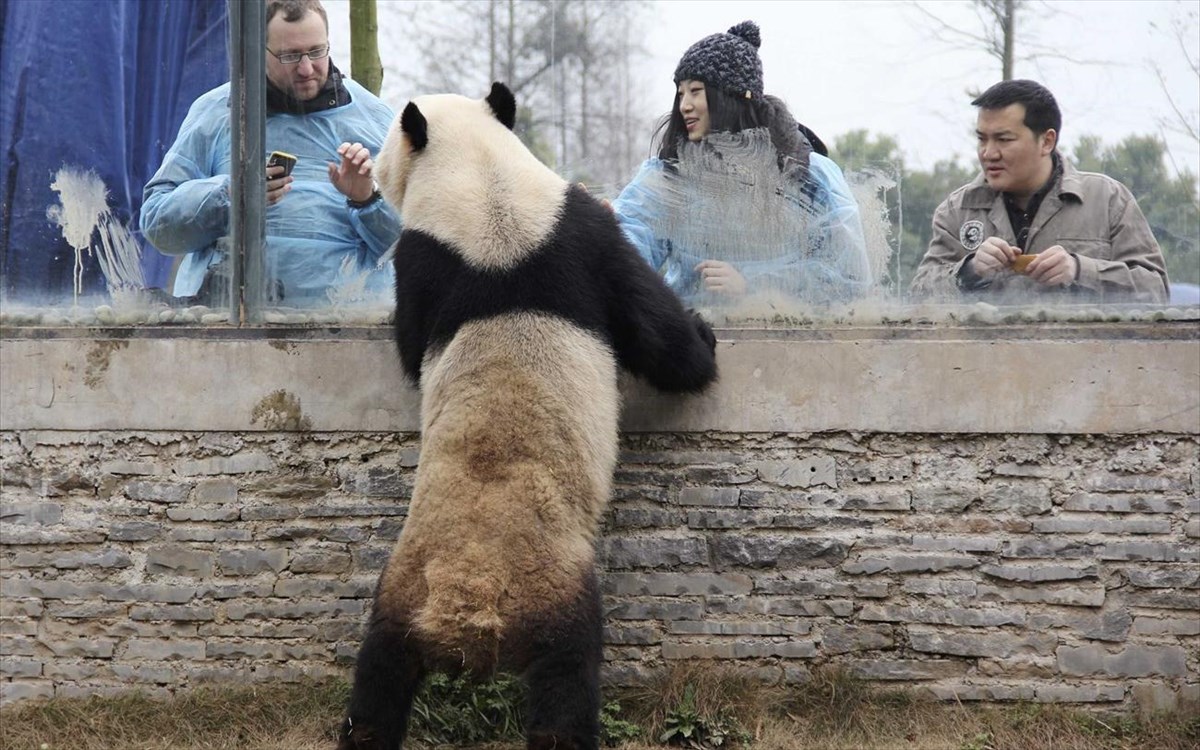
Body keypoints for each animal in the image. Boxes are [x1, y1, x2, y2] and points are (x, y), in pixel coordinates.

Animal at [338, 82, 718, 750]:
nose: (374, 171)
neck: (484, 181)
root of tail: (469, 602)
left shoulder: (550, 230)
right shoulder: (574, 235)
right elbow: (659, 334)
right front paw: (705, 337)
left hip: (398, 591)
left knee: (377, 679)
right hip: (553, 589)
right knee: (568, 678)